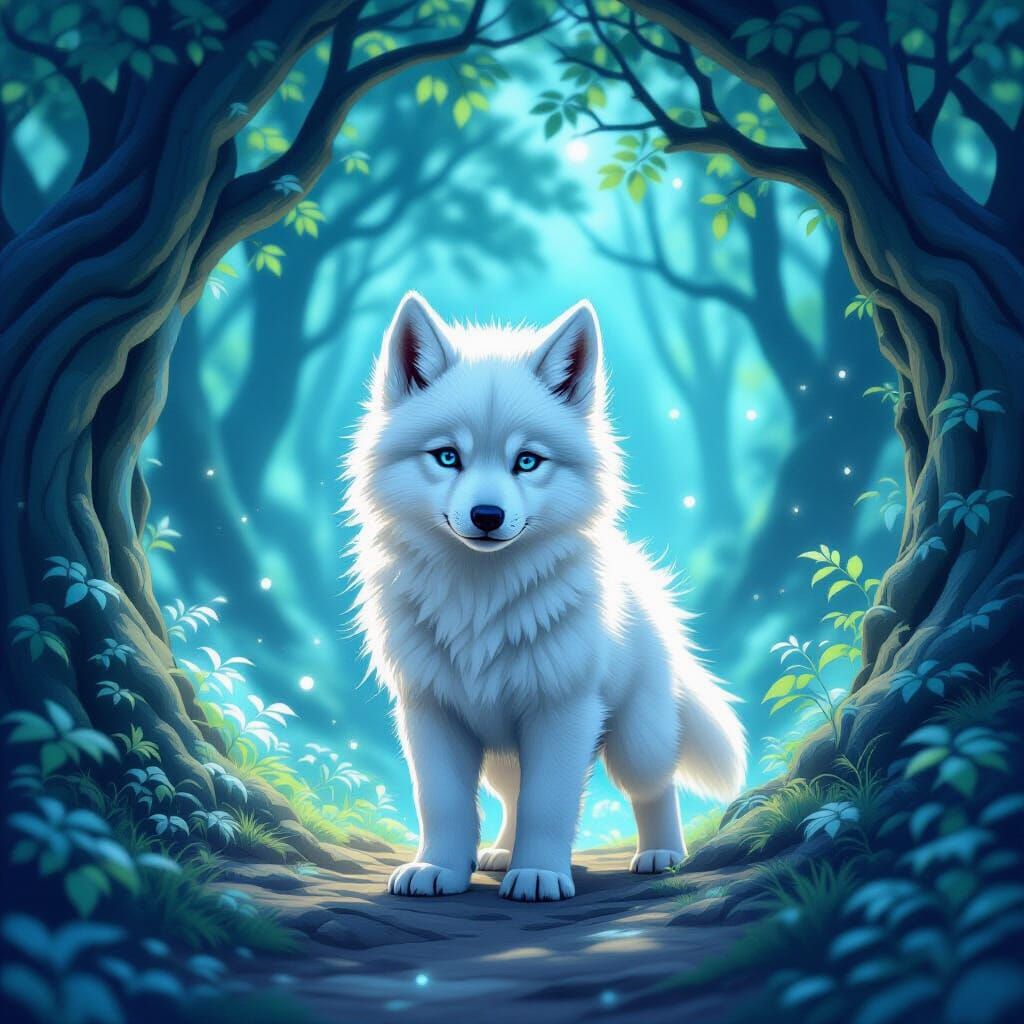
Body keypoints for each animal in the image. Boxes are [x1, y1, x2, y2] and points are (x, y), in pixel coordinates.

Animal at [346, 292, 746, 902]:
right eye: (447, 457)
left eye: (527, 461)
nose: (487, 515)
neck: (479, 599)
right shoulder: (430, 711)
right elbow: (442, 803)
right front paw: (439, 868)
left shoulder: (563, 712)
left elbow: (549, 803)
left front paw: (539, 875)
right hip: (502, 752)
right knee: (512, 792)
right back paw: (499, 854)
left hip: (636, 741)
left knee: (654, 785)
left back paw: (662, 855)